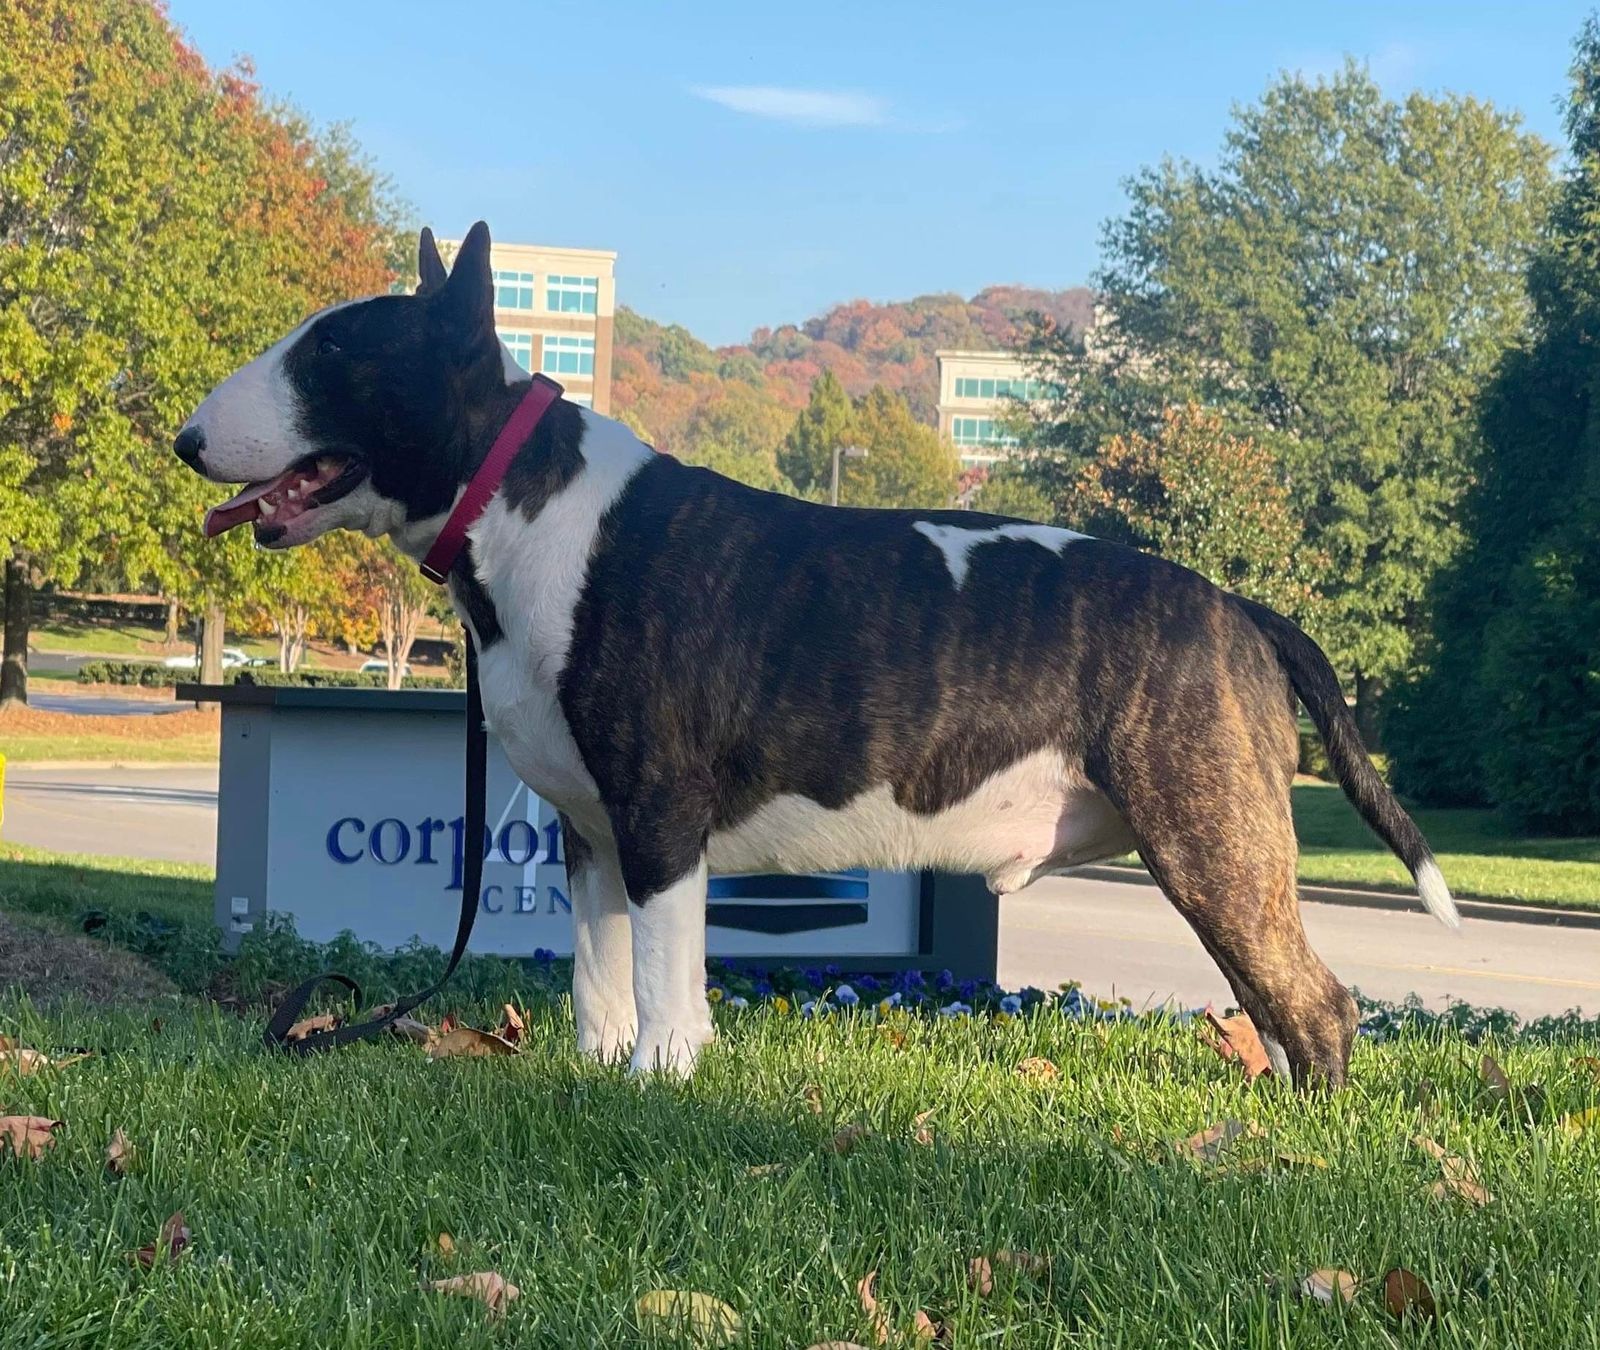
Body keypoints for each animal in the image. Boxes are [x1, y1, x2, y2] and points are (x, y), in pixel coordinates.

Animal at [175, 221, 1458, 1086]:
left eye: (331, 355)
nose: (185, 438)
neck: (521, 505)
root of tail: (1236, 606)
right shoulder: (589, 832)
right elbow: (598, 971)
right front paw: (596, 1076)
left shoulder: (660, 817)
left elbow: (665, 974)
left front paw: (661, 1082)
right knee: (1276, 1001)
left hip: (1208, 836)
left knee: (1317, 1004)